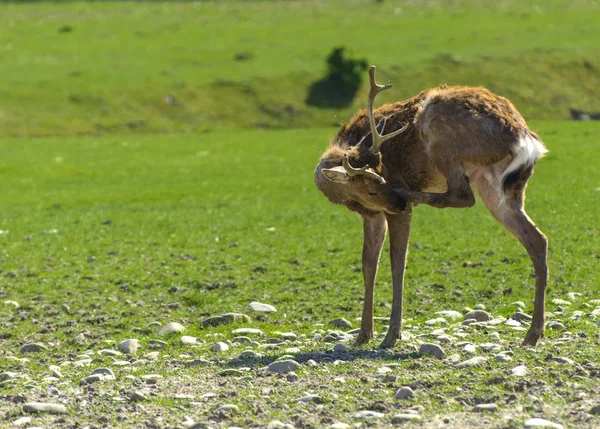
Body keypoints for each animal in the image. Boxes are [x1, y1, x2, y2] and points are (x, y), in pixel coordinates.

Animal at [314, 66, 548, 348]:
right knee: (537, 239)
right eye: (371, 188)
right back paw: (533, 334)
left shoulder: (394, 212)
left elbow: (397, 263)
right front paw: (363, 335)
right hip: (500, 188)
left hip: (441, 138)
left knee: (462, 195)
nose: (398, 201)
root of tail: (527, 140)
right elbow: (369, 265)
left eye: (384, 174)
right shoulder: (372, 214)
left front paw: (391, 335)